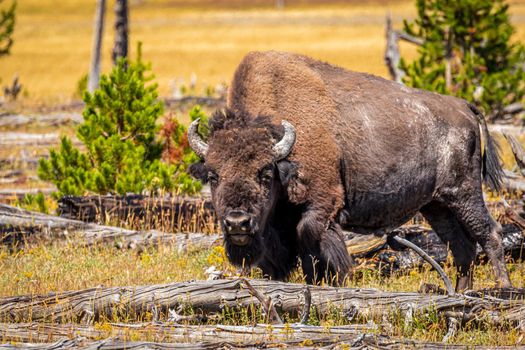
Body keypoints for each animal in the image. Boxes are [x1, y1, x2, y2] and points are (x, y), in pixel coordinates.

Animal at [187, 51, 512, 290]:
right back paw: (460, 293)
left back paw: (502, 289)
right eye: (213, 175)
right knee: (461, 246)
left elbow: (313, 244)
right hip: (437, 205)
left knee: (489, 233)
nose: (237, 223)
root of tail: (464, 107)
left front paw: (332, 281)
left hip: (464, 193)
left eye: (265, 173)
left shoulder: (323, 205)